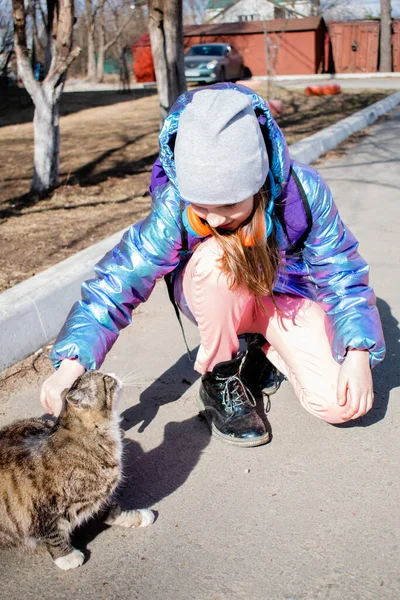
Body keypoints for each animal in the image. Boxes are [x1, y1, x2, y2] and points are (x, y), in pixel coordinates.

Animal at [0, 370, 155, 572]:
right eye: (106, 379)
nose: (112, 373)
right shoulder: (45, 509)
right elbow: (53, 534)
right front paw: (66, 556)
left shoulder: (99, 493)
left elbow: (113, 509)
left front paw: (136, 517)